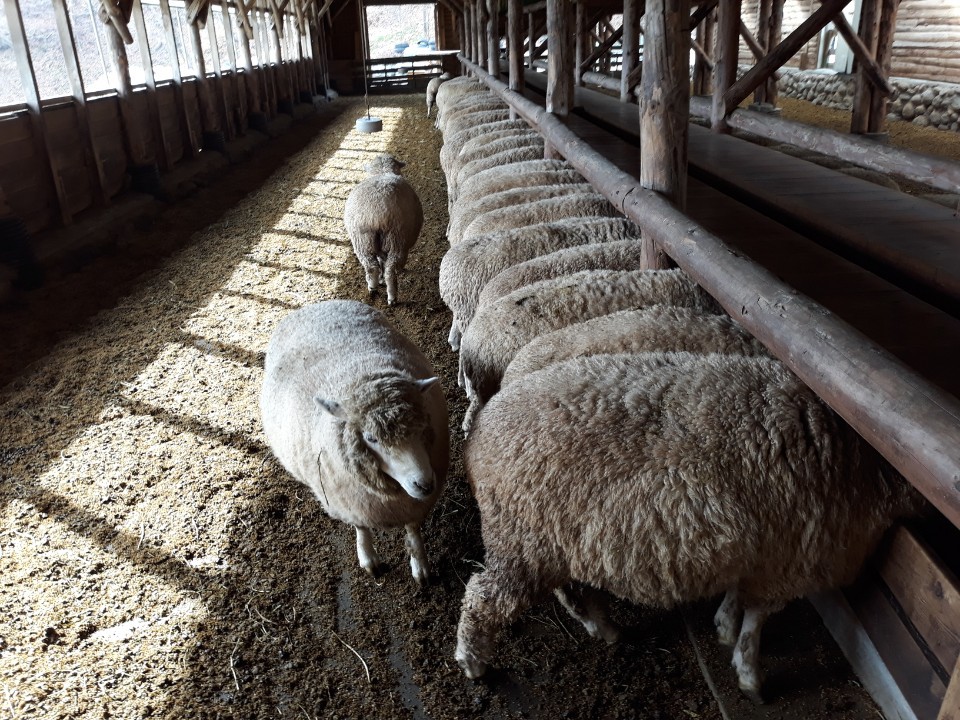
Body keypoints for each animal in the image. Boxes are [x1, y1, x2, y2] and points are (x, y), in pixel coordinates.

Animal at [260, 300, 449, 585]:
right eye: (371, 438)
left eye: (421, 427)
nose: (424, 484)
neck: (364, 375)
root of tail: (319, 304)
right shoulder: (350, 502)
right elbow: (361, 528)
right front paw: (368, 557)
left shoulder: (412, 505)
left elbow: (413, 531)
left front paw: (420, 566)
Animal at [343, 154, 423, 306]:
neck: (382, 171)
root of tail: (375, 215)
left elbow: (381, 261)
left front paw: (380, 279)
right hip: (397, 240)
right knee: (390, 271)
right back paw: (392, 297)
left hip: (362, 241)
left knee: (371, 267)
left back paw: (373, 287)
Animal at [455, 350, 922, 700]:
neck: (859, 461)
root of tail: (480, 432)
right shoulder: (788, 563)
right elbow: (756, 618)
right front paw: (749, 672)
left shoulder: (762, 550)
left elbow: (738, 595)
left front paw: (724, 625)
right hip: (518, 537)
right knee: (480, 600)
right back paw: (473, 663)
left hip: (547, 538)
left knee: (567, 589)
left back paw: (604, 628)